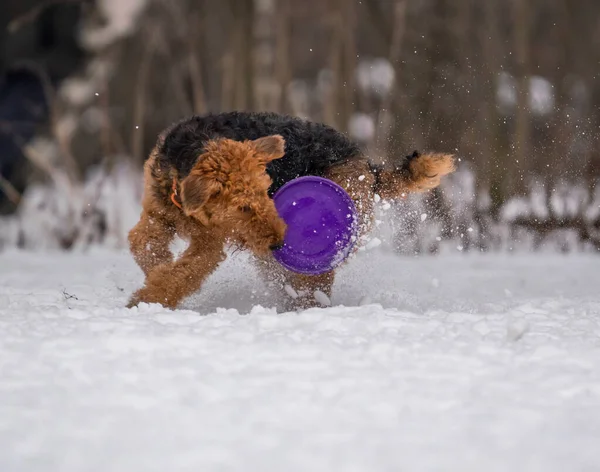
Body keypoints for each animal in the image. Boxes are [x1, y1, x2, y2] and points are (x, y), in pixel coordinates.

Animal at [127, 110, 454, 310]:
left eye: (266, 191)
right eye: (243, 206)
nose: (279, 241)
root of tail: (367, 164)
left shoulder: (209, 245)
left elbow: (184, 273)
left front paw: (147, 298)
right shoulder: (157, 214)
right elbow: (142, 243)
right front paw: (155, 273)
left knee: (314, 287)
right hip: (272, 263)